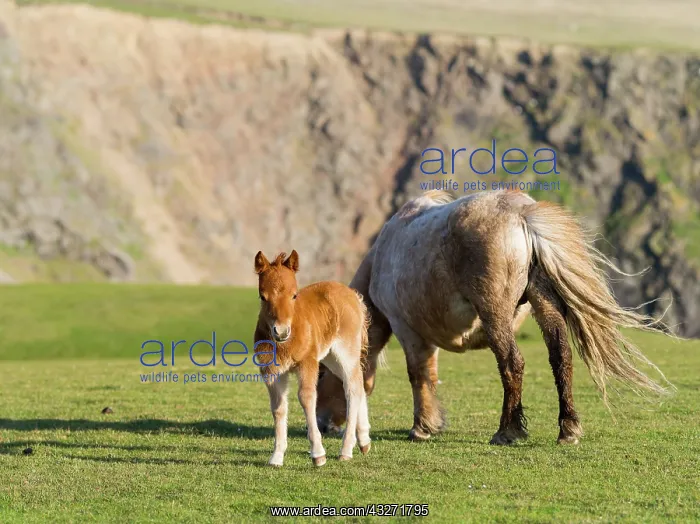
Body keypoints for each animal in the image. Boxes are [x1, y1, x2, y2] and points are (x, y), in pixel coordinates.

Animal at [253, 249, 372, 467]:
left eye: (294, 295)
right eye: (262, 296)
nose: (281, 332)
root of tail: (353, 295)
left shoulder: (307, 363)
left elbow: (307, 398)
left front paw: (318, 454)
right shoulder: (271, 371)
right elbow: (278, 407)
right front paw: (276, 456)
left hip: (346, 352)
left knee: (352, 389)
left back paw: (346, 450)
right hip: (331, 358)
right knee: (358, 384)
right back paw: (363, 440)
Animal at [316, 189, 674, 445]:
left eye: (321, 374)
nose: (322, 423)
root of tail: (522, 214)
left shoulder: (409, 331)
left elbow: (418, 377)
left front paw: (422, 427)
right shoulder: (426, 337)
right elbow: (430, 375)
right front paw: (433, 424)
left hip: (495, 313)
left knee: (512, 363)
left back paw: (507, 431)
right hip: (543, 305)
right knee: (561, 357)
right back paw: (568, 429)